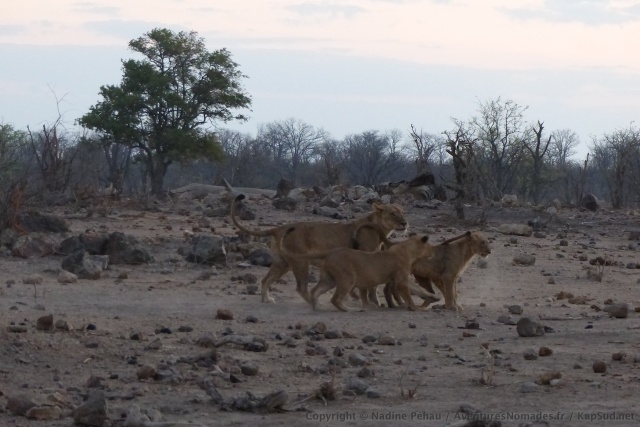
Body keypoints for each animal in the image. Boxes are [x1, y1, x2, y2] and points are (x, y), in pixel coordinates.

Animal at [230, 194, 408, 304]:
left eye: (402, 212)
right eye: (392, 213)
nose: (405, 223)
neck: (381, 228)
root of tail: (280, 228)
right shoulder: (367, 259)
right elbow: (371, 285)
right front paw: (371, 301)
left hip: (282, 263)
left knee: (266, 280)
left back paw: (267, 299)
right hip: (300, 262)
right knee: (301, 287)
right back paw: (313, 302)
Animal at [280, 227, 434, 311]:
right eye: (430, 246)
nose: (433, 252)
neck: (408, 249)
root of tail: (331, 252)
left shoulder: (399, 278)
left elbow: (418, 289)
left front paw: (433, 297)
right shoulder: (401, 280)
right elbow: (409, 295)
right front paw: (415, 308)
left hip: (329, 279)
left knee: (315, 290)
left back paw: (317, 307)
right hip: (348, 278)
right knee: (335, 298)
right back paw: (351, 309)